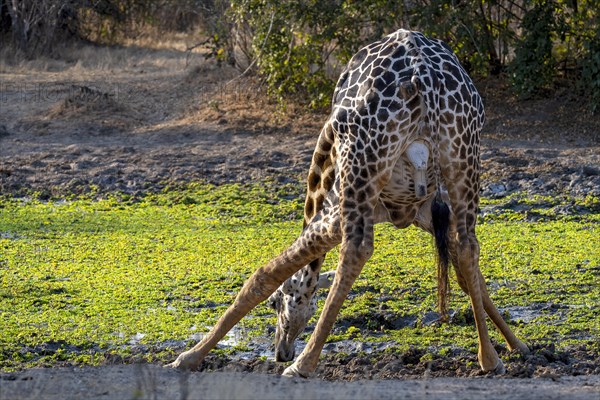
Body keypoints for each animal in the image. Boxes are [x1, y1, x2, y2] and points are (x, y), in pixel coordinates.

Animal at [166, 29, 528, 376]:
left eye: (277, 304)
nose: (282, 351)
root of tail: (422, 77)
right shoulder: (425, 213)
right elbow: (470, 277)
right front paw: (516, 346)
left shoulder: (332, 214)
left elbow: (266, 273)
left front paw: (187, 358)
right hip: (463, 158)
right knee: (469, 245)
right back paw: (488, 360)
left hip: (362, 167)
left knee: (356, 248)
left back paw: (304, 366)